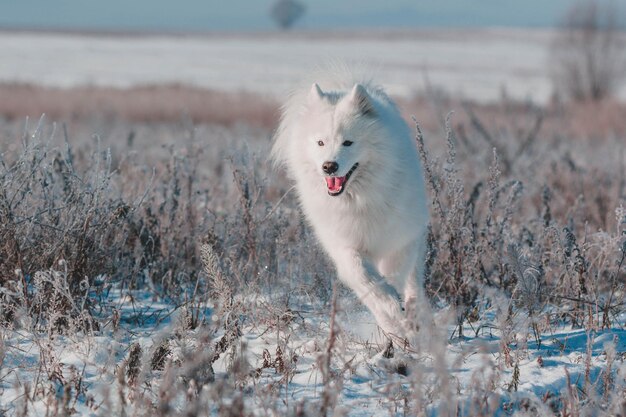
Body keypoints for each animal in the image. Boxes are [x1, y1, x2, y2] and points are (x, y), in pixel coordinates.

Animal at [272, 79, 428, 338]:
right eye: (321, 142)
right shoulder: (345, 247)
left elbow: (393, 276)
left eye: (348, 142)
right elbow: (366, 279)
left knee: (414, 284)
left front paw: (399, 312)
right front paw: (391, 313)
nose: (329, 166)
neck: (358, 200)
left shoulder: (401, 241)